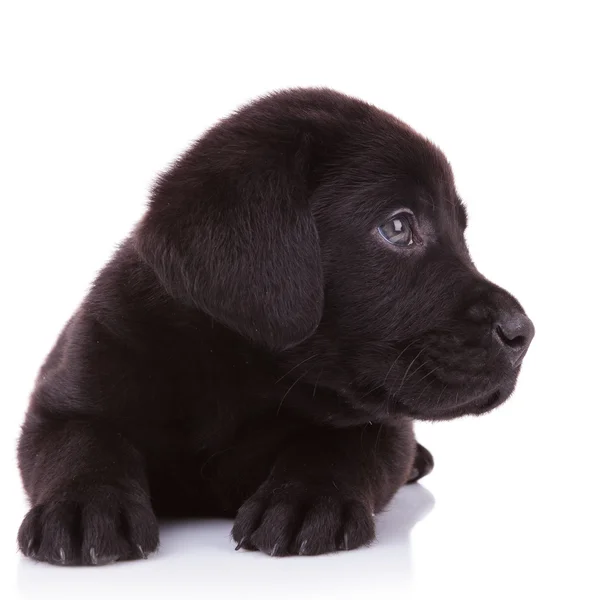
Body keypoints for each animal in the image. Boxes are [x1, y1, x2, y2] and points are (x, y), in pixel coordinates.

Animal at [17, 88, 536, 564]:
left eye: (461, 233)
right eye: (397, 227)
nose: (523, 333)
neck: (237, 375)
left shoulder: (382, 426)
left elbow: (338, 443)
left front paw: (307, 499)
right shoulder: (70, 387)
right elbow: (83, 439)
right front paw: (85, 505)